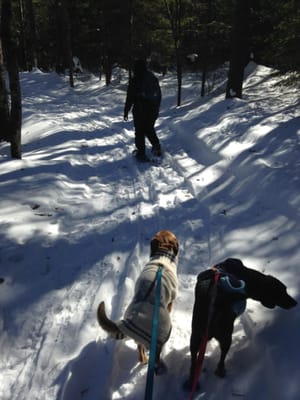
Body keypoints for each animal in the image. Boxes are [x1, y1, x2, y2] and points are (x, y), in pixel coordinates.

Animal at [97, 231, 179, 372]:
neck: (163, 255)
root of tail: (130, 321)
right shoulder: (170, 300)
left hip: (141, 339)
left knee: (140, 351)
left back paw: (144, 360)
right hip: (162, 334)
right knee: (154, 356)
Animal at [186, 258, 296, 390]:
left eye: (285, 289)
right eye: (281, 292)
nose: (295, 302)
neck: (246, 276)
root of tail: (212, 313)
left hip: (196, 338)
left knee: (193, 361)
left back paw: (192, 380)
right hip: (226, 337)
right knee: (221, 358)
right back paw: (221, 371)